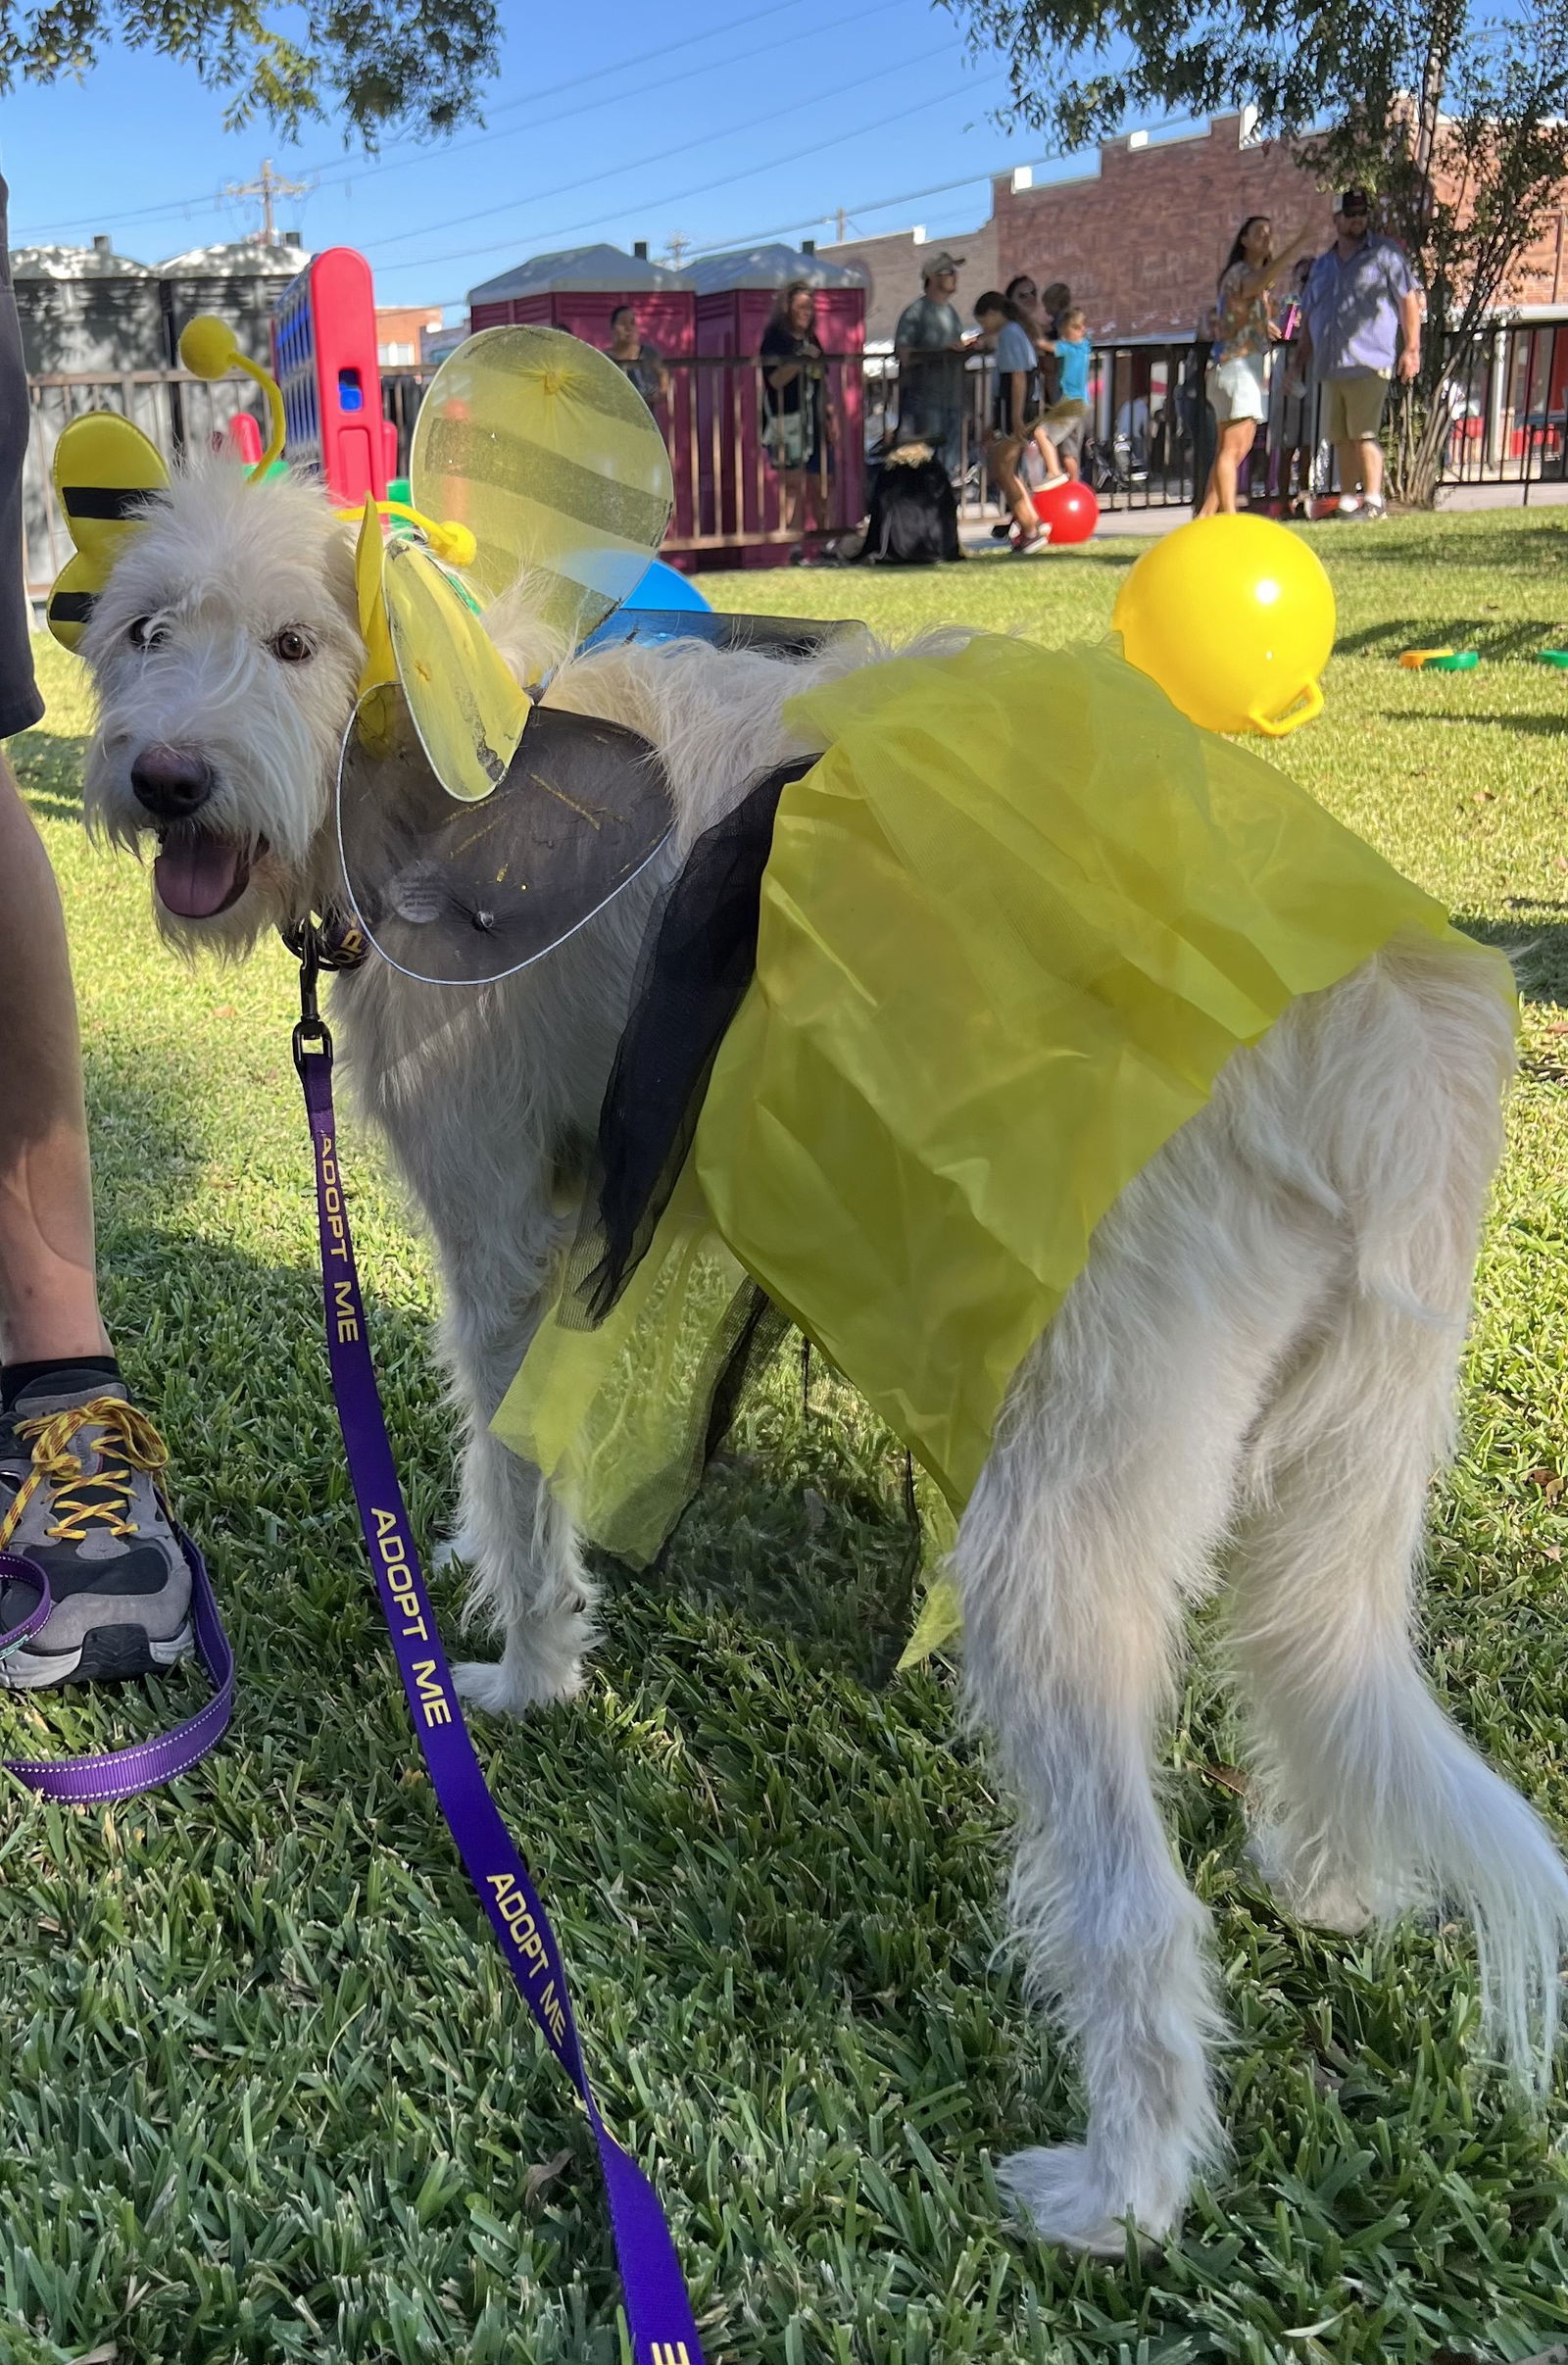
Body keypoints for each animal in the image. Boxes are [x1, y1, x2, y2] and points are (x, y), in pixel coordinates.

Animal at [76, 461, 1568, 2251]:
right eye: (145, 632)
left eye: (299, 643)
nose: (164, 778)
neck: (429, 743)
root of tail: (1384, 1037)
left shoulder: (501, 1245)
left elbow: (515, 1467)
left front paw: (522, 1674)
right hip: (1346, 1463)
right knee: (1322, 1682)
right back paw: (1333, 1881)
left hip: (1057, 1539)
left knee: (1139, 1904)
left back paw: (1123, 2187)